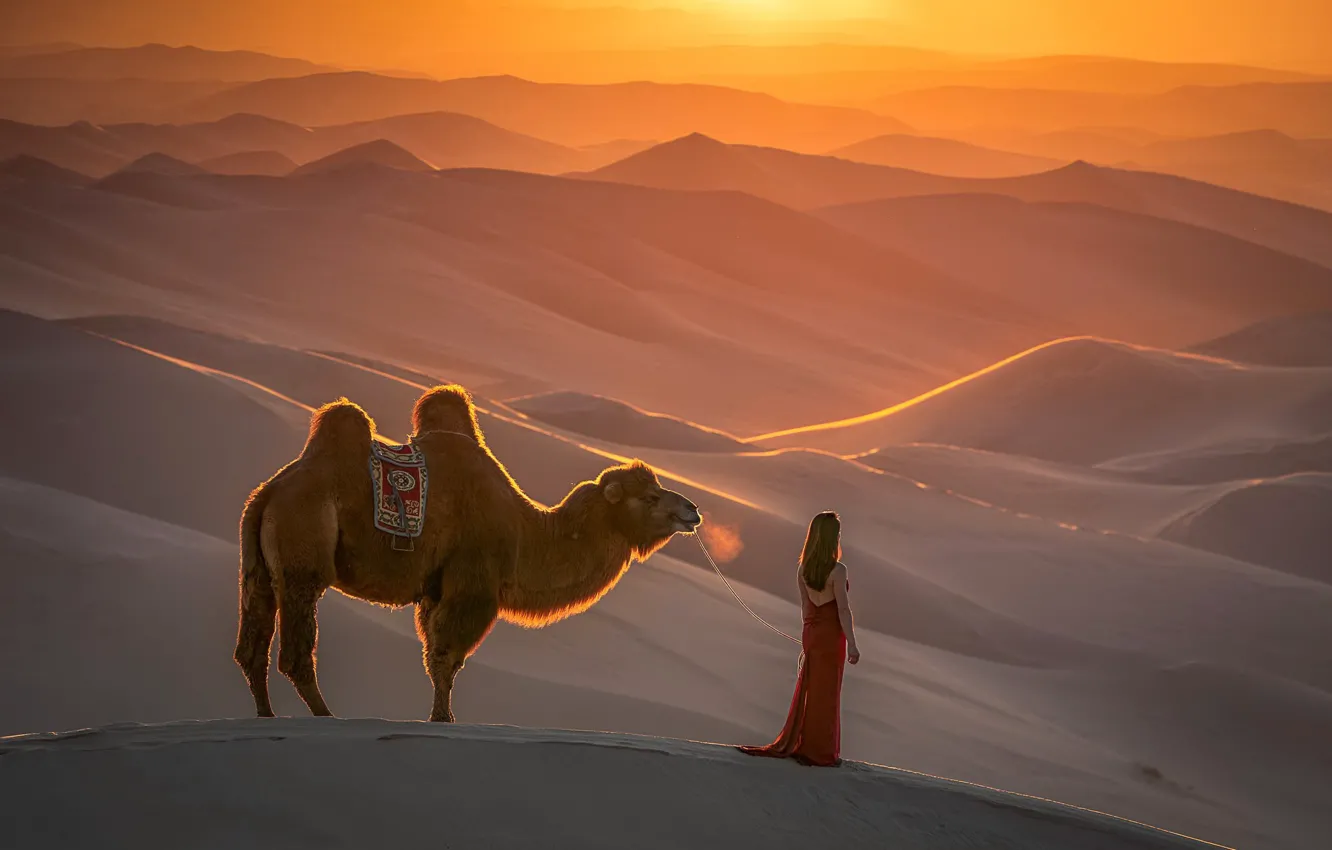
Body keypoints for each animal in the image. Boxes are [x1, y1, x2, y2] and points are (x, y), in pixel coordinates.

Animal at [234, 384, 702, 722]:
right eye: (651, 497)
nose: (692, 510)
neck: (525, 531)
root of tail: (269, 493)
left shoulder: (435, 589)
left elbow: (435, 655)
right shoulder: (472, 585)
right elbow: (447, 657)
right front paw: (443, 720)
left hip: (257, 567)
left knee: (251, 647)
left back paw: (265, 716)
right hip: (303, 549)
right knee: (294, 652)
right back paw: (326, 716)